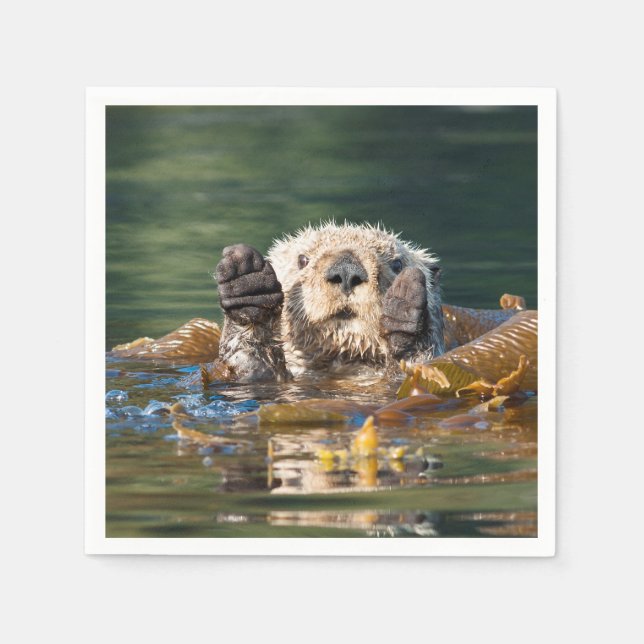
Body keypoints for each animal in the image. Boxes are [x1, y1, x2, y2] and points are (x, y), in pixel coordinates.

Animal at [215, 222, 445, 381]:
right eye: (303, 260)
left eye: (397, 264)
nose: (346, 270)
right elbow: (249, 364)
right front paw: (248, 284)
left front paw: (404, 311)